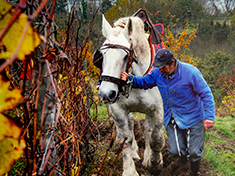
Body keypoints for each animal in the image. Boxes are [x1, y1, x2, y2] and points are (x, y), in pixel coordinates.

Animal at [98, 15, 164, 176]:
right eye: (102, 54)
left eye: (124, 56)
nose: (106, 93)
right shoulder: (117, 110)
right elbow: (124, 139)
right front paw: (129, 170)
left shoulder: (157, 110)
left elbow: (156, 138)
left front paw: (155, 162)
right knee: (131, 123)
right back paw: (135, 152)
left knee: (148, 129)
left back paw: (148, 156)